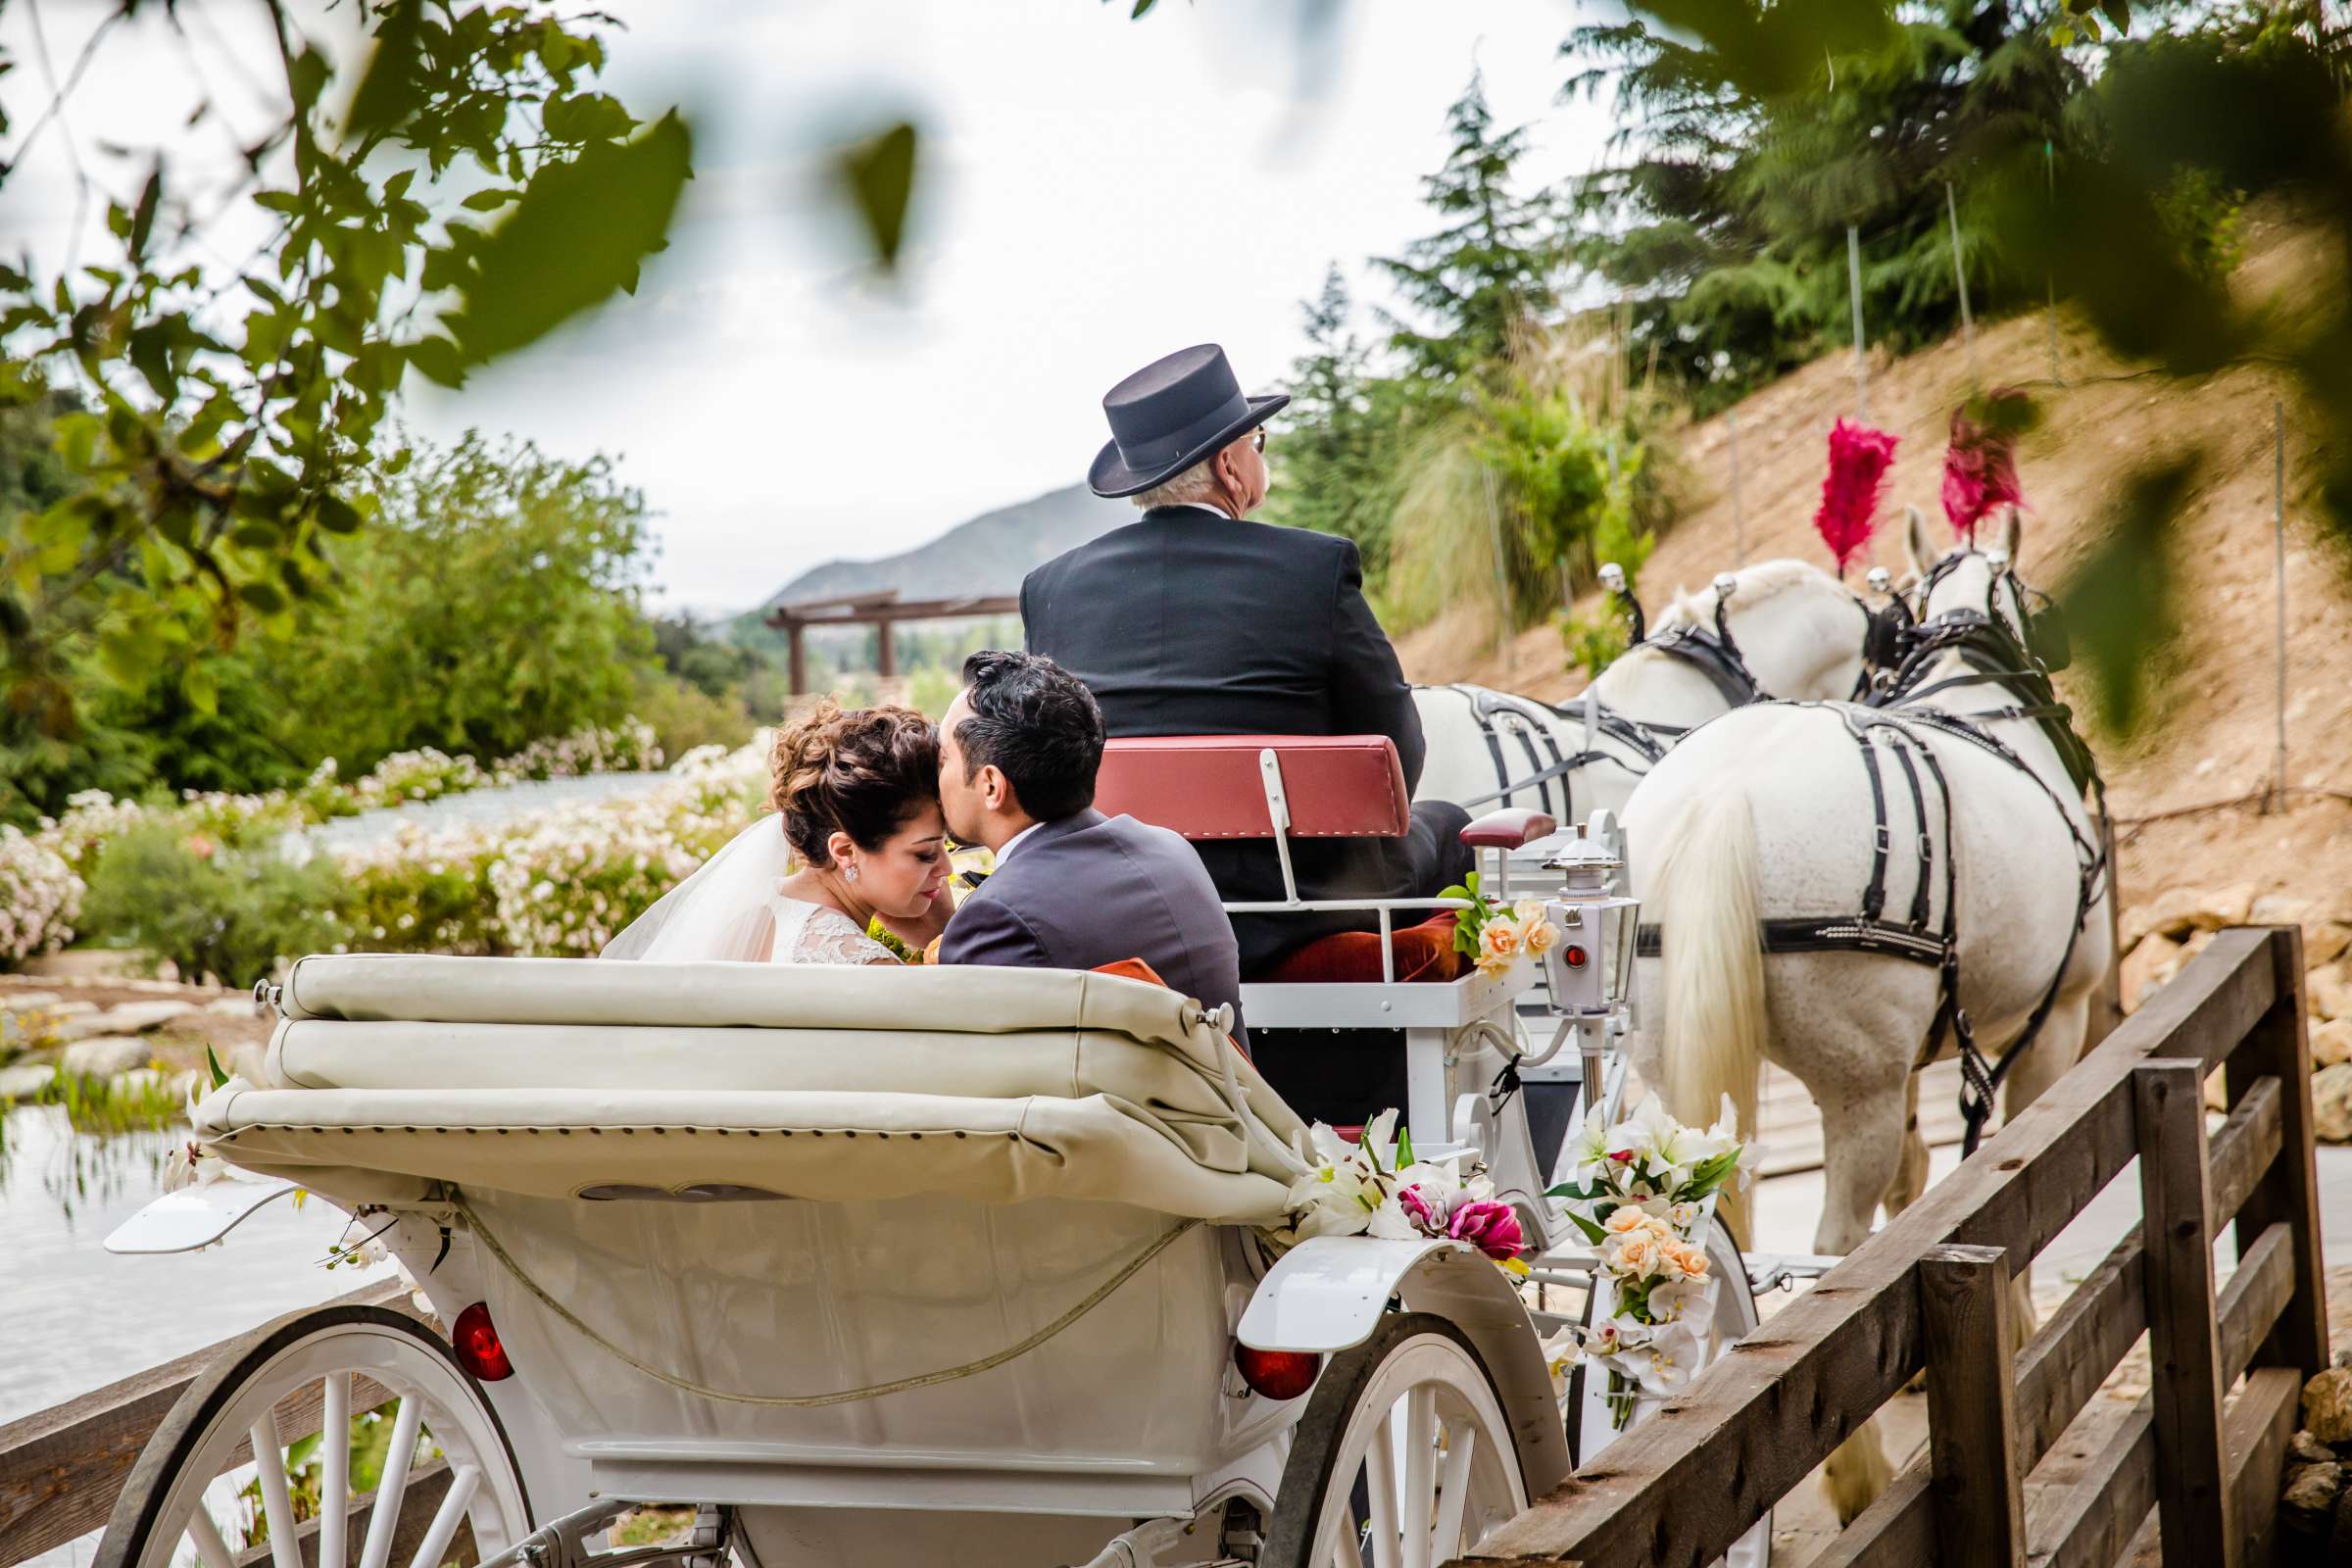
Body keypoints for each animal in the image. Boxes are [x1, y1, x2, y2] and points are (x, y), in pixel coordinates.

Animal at [1627, 512, 2107, 1523]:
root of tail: (1721, 794)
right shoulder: (2055, 1020)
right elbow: (2023, 1165)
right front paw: (2018, 1320)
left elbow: (1919, 1180)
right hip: (1861, 1087)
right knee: (1833, 1251)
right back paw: (1856, 1475)